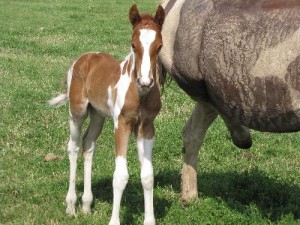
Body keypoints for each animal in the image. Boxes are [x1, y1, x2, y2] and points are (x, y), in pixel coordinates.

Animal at [49, 4, 165, 225]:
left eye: (159, 46)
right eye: (133, 45)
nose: (145, 82)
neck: (140, 94)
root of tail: (83, 58)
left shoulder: (147, 126)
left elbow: (148, 175)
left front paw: (149, 220)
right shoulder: (122, 124)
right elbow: (120, 176)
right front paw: (114, 221)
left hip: (98, 115)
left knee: (88, 145)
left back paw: (86, 204)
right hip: (77, 112)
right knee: (74, 147)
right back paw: (71, 205)